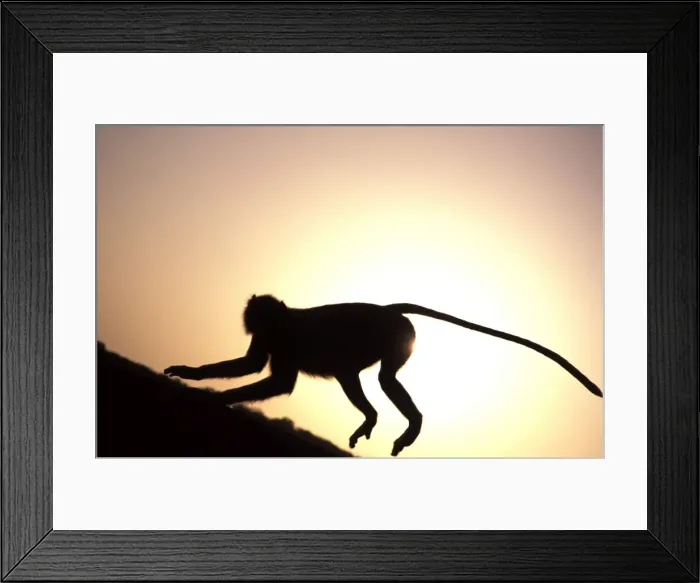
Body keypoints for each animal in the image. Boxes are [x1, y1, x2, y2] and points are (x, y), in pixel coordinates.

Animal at [165, 294, 602, 457]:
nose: (248, 319)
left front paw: (217, 398)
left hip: (396, 336)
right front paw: (191, 374)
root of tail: (388, 308)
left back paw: (411, 424)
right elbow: (252, 366)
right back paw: (372, 418)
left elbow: (278, 382)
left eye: (258, 314)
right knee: (355, 375)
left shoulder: (283, 338)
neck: (282, 321)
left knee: (385, 381)